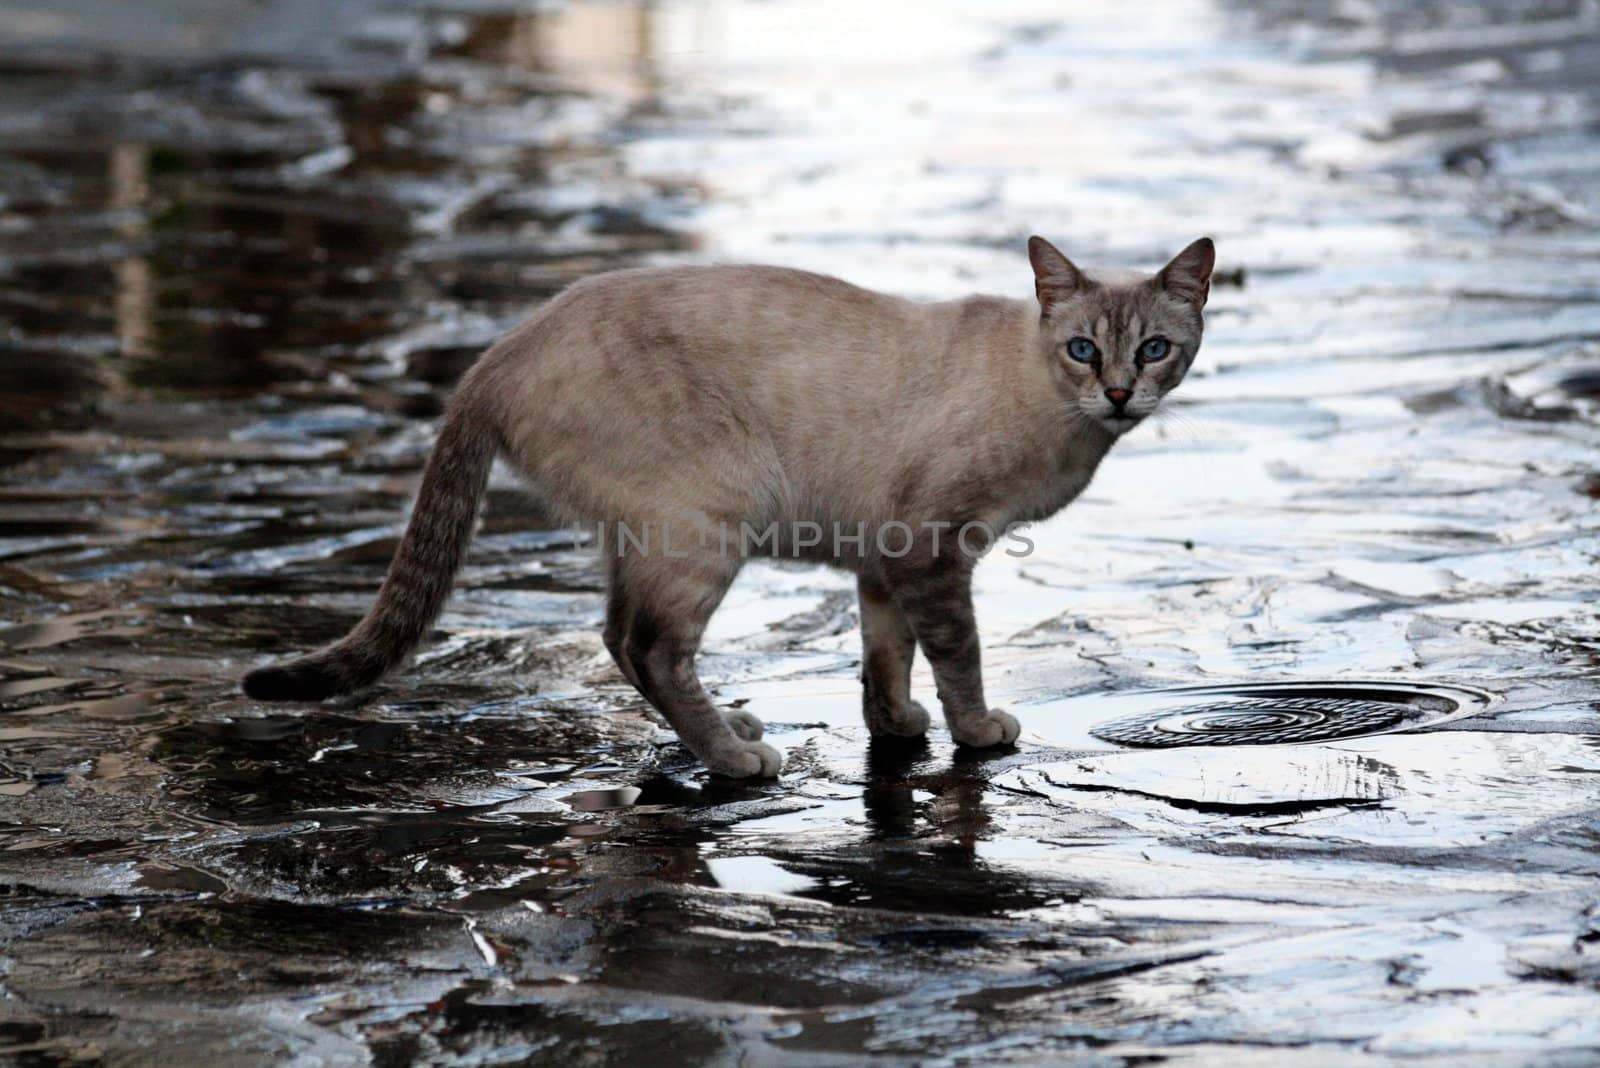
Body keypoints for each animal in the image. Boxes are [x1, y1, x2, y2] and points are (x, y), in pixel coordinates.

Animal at [240, 235, 1209, 777]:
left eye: (1155, 350)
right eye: (1082, 349)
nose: (1119, 394)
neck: (1059, 414)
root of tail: (498, 352)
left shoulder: (886, 558)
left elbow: (884, 658)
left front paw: (897, 729)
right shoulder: (931, 551)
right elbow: (958, 657)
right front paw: (976, 733)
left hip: (646, 535)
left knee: (618, 641)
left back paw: (730, 727)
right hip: (708, 523)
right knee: (651, 648)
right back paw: (739, 759)